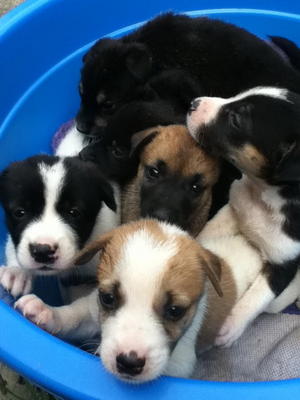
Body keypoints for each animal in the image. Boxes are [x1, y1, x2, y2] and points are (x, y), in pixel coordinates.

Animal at [188, 86, 300, 346]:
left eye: (235, 120)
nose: (193, 103)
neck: (263, 197)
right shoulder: (232, 209)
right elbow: (208, 233)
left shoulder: (285, 263)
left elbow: (260, 295)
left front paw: (231, 325)